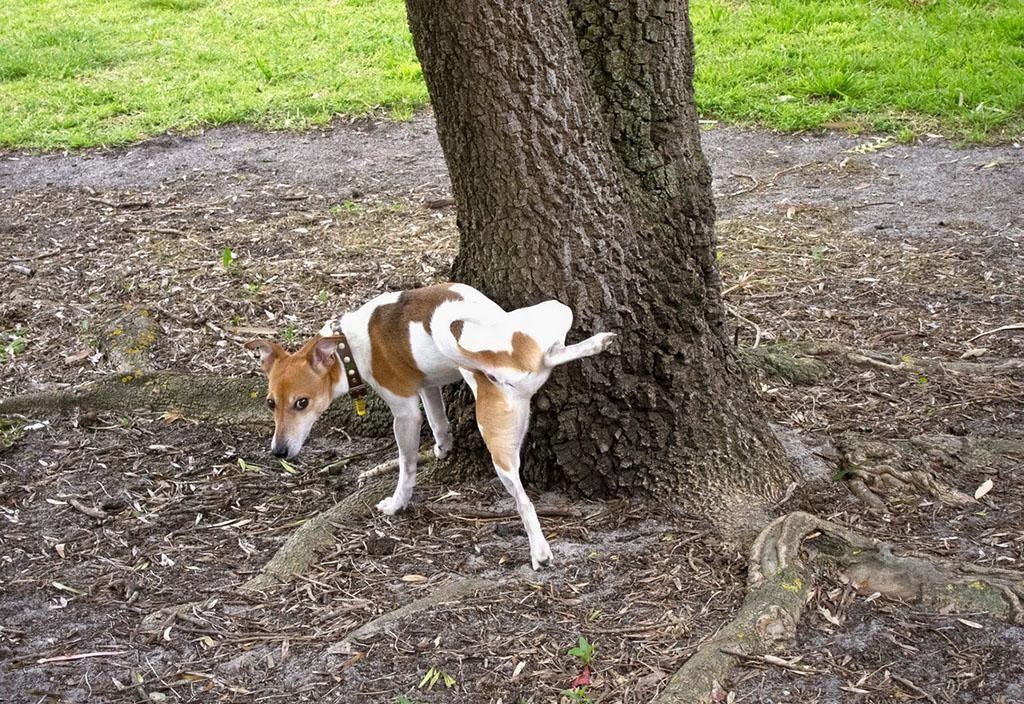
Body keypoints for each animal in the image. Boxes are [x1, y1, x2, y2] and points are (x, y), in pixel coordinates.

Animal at [247, 280, 614, 564]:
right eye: (270, 403)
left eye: (302, 403)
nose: (279, 451)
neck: (347, 345)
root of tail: (495, 359)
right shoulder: (428, 386)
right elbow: (439, 422)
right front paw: (442, 447)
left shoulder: (404, 410)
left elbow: (406, 466)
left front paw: (397, 503)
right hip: (553, 315)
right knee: (553, 354)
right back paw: (596, 342)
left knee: (524, 502)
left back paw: (539, 553)